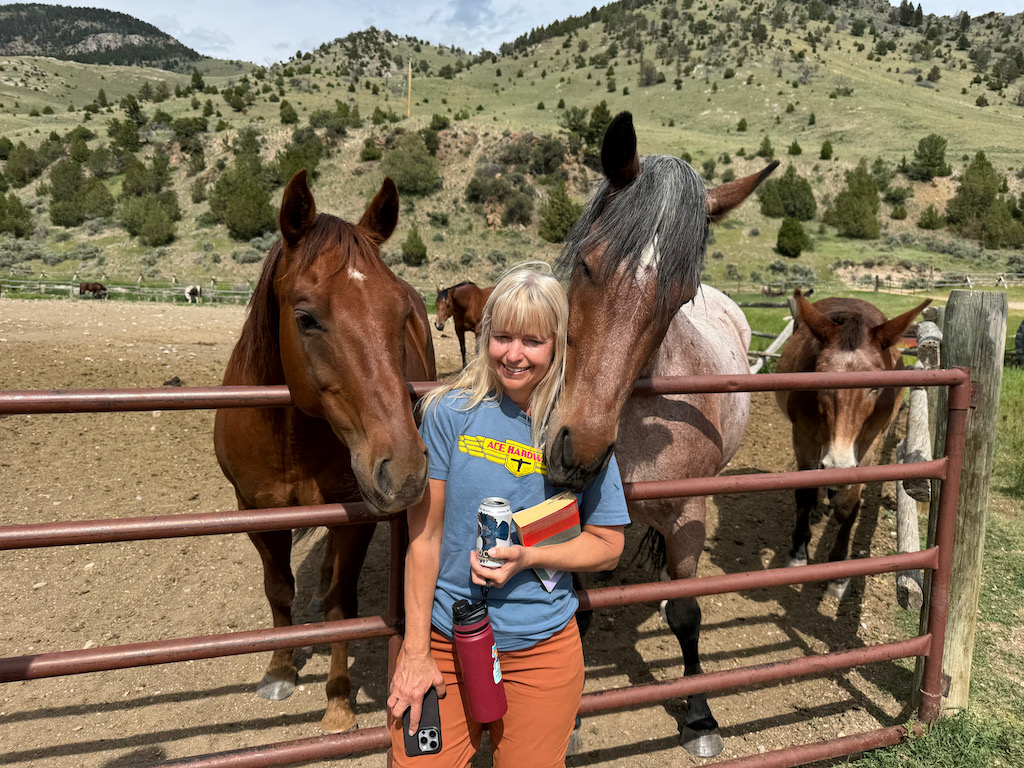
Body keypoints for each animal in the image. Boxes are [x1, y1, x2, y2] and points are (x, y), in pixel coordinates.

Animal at [213, 170, 435, 733]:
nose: (404, 469)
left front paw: (338, 703)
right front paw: (279, 671)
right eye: (306, 317)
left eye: (398, 313)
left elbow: (342, 605)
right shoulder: (256, 511)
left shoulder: (354, 514)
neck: (290, 435)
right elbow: (278, 590)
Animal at [546, 111, 777, 757]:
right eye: (586, 265)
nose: (580, 451)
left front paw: (699, 716)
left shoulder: (689, 514)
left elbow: (685, 616)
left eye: (678, 297)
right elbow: (576, 617)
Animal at [775, 290, 929, 599]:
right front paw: (798, 552)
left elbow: (849, 506)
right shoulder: (804, 438)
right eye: (819, 380)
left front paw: (838, 572)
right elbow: (805, 494)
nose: (838, 464)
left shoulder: (869, 442)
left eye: (874, 386)